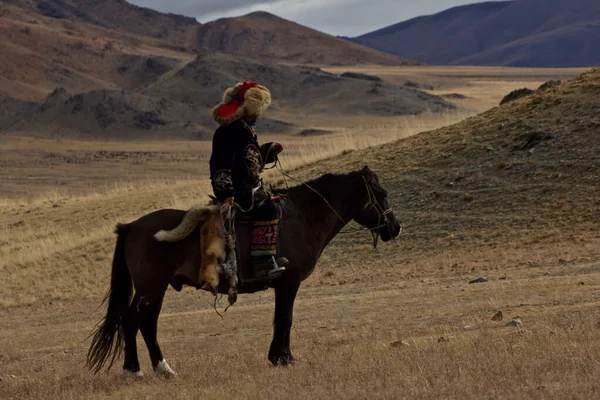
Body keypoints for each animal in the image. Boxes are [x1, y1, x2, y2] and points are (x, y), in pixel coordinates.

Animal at [86, 165, 400, 376]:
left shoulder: (284, 285)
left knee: (145, 323)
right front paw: (284, 359)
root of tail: (131, 226)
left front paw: (279, 357)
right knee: (134, 321)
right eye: (381, 193)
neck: (303, 217)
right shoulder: (289, 282)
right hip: (151, 288)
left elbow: (281, 319)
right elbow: (285, 319)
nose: (394, 227)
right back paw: (137, 369)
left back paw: (160, 369)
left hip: (155, 289)